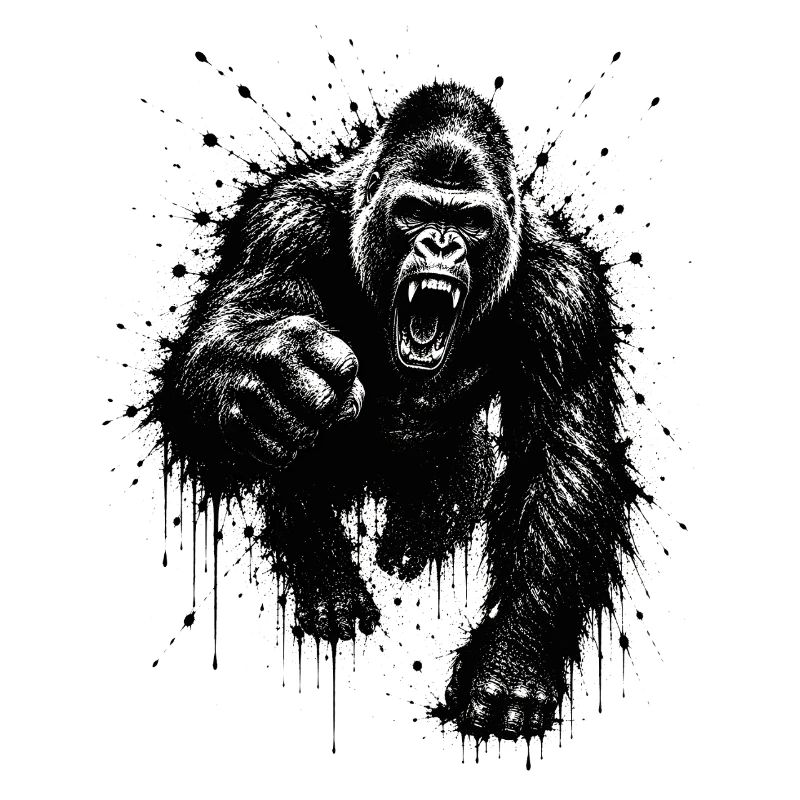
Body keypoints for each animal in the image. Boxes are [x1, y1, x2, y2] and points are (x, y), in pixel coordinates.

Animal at [154, 81, 634, 742]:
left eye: (471, 222)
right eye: (414, 211)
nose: (442, 243)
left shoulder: (566, 295)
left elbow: (563, 462)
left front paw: (514, 658)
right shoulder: (282, 224)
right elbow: (212, 354)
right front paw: (265, 374)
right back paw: (323, 573)